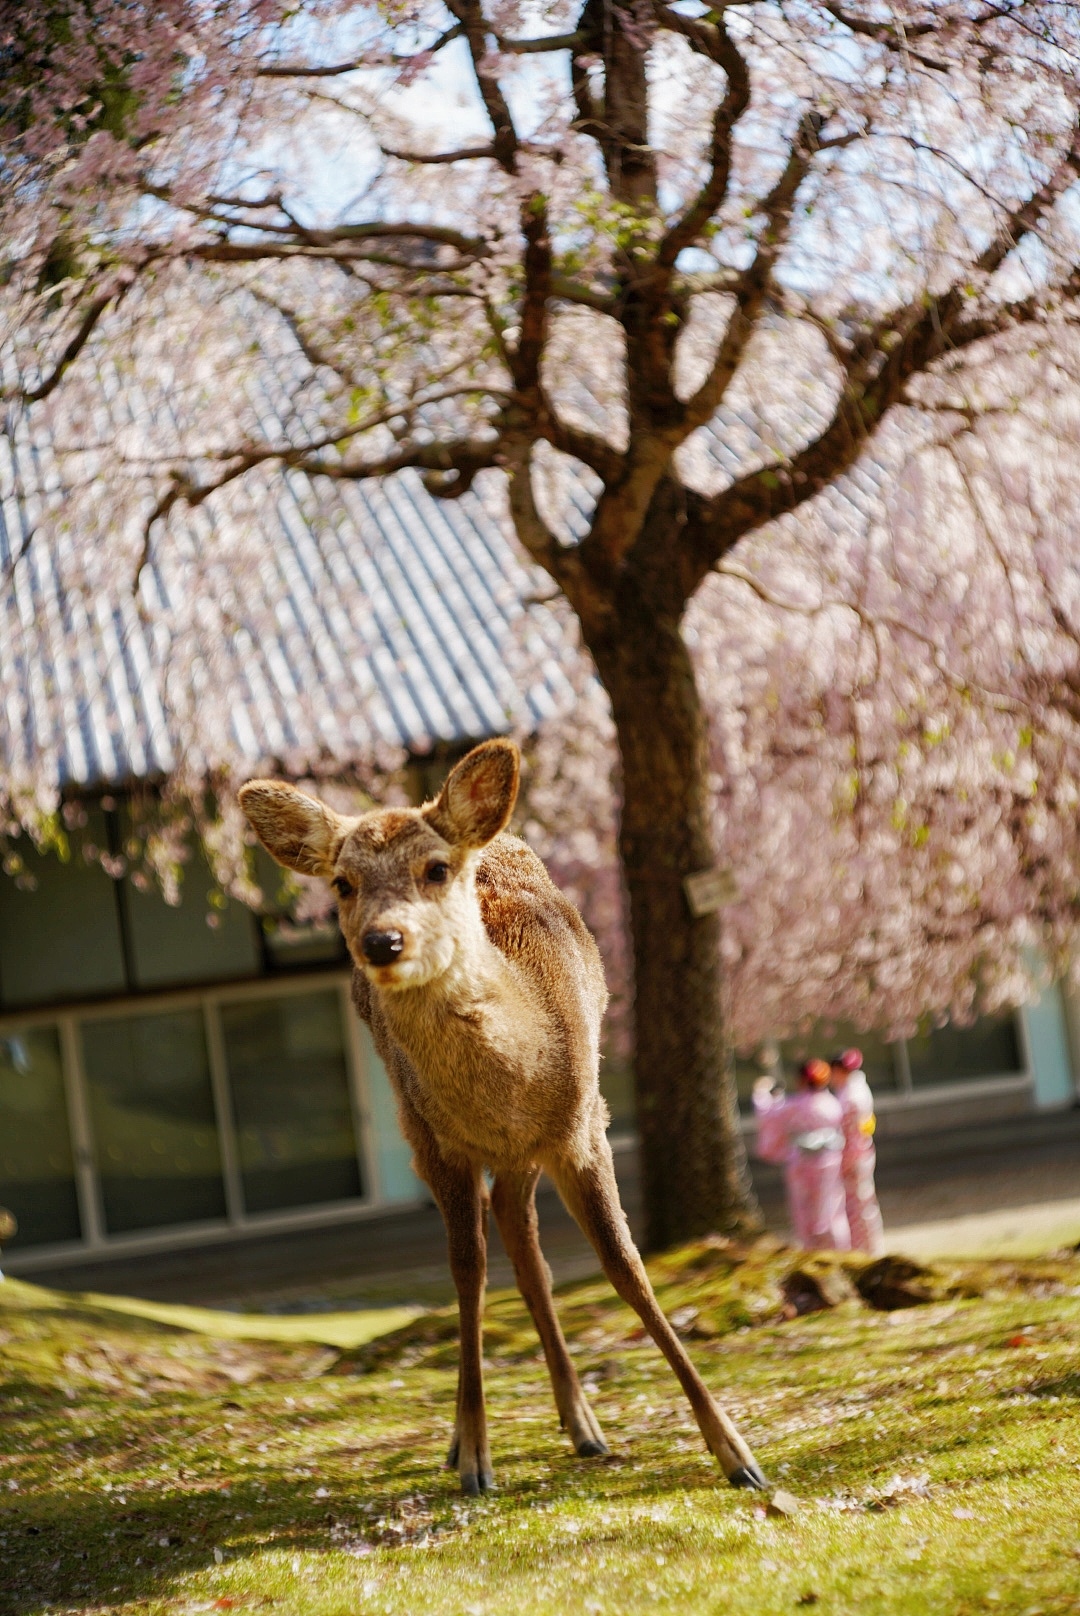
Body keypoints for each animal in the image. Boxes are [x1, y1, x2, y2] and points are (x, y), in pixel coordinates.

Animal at [239, 739, 766, 1496]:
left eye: (435, 868)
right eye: (341, 882)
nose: (382, 942)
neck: (515, 1079)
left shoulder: (585, 1125)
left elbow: (627, 1266)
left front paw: (737, 1454)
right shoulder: (436, 1144)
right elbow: (466, 1272)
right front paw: (475, 1457)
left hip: (539, 1147)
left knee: (525, 1238)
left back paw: (583, 1425)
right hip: (434, 1128)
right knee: (511, 1240)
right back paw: (518, 1432)